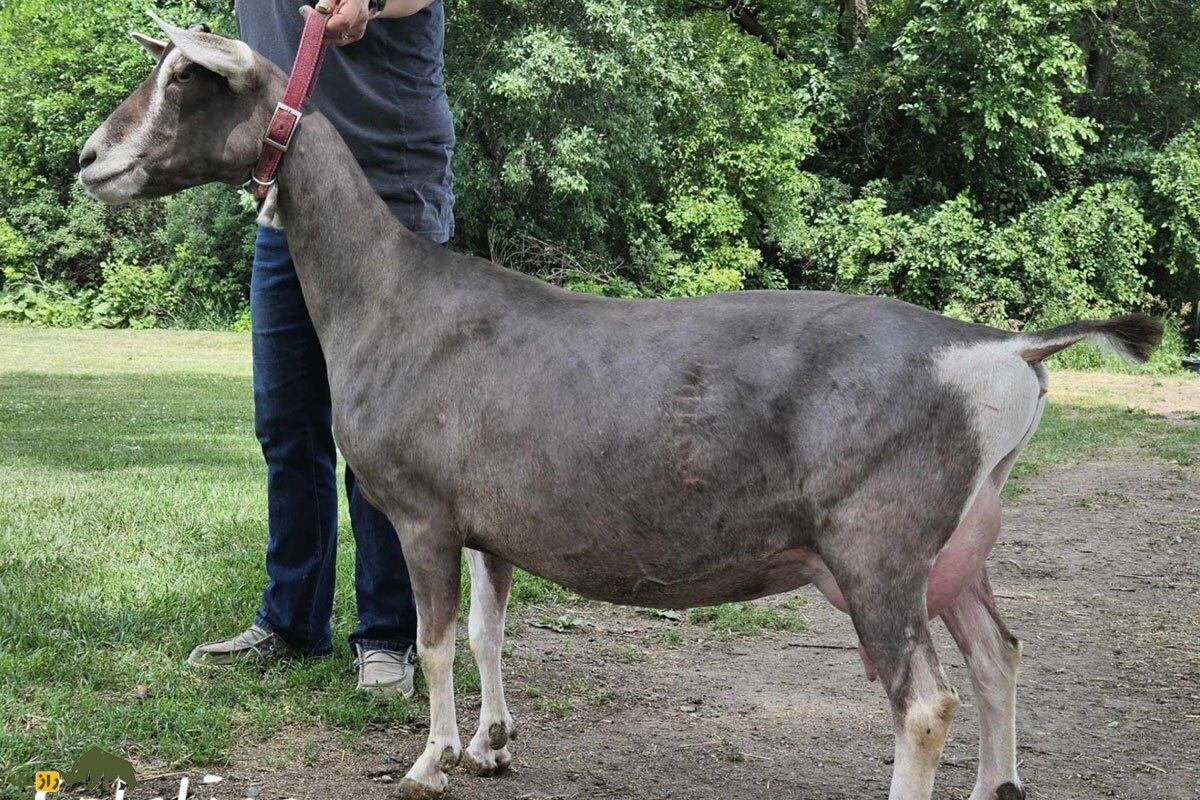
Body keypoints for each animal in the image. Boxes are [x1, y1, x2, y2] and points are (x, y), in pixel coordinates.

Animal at [77, 18, 1161, 800]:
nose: (89, 159)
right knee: (998, 654)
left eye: (189, 81)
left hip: (879, 540)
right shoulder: (491, 523)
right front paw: (492, 743)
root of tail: (1004, 349)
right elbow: (487, 633)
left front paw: (428, 762)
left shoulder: (423, 511)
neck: (389, 295)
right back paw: (999, 782)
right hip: (955, 542)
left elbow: (432, 640)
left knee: (926, 701)